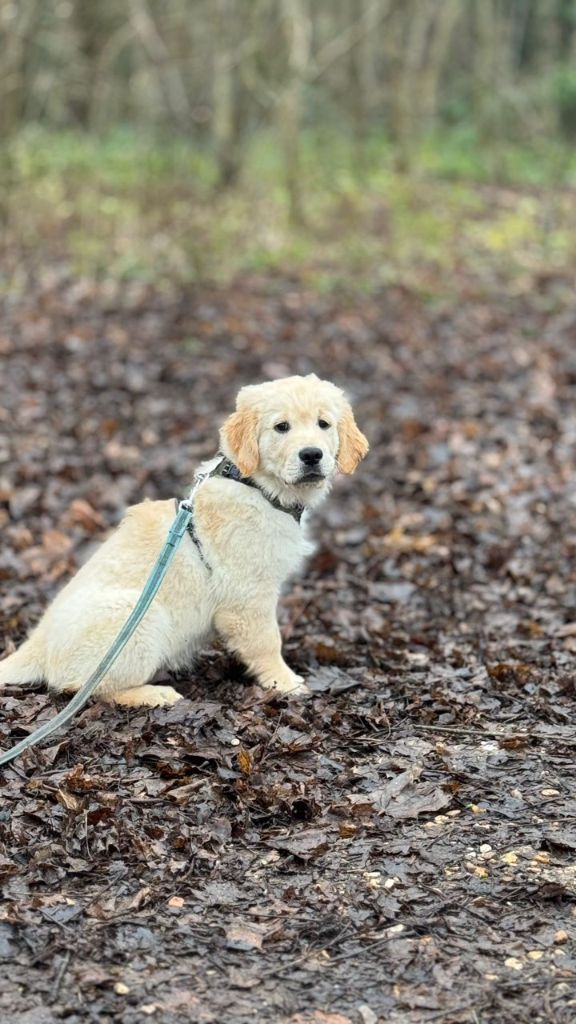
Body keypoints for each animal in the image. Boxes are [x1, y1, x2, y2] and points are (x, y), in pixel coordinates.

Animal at [0, 374, 366, 704]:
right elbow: (268, 642)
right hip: (143, 619)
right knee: (85, 689)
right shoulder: (248, 597)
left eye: (323, 424)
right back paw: (154, 694)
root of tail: (37, 645)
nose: (311, 455)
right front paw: (286, 683)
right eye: (281, 427)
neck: (257, 487)